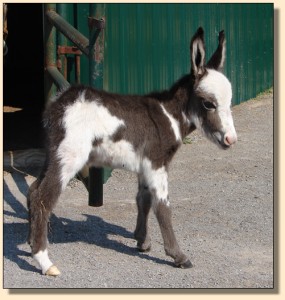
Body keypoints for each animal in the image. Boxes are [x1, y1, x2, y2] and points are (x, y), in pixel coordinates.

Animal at [27, 27, 235, 276]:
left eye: (230, 101)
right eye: (208, 104)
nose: (231, 139)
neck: (170, 115)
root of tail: (60, 103)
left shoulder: (145, 166)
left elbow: (143, 200)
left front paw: (142, 241)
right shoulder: (157, 163)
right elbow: (163, 207)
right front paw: (178, 256)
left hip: (53, 153)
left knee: (32, 190)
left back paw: (31, 243)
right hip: (70, 157)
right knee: (42, 198)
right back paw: (44, 261)